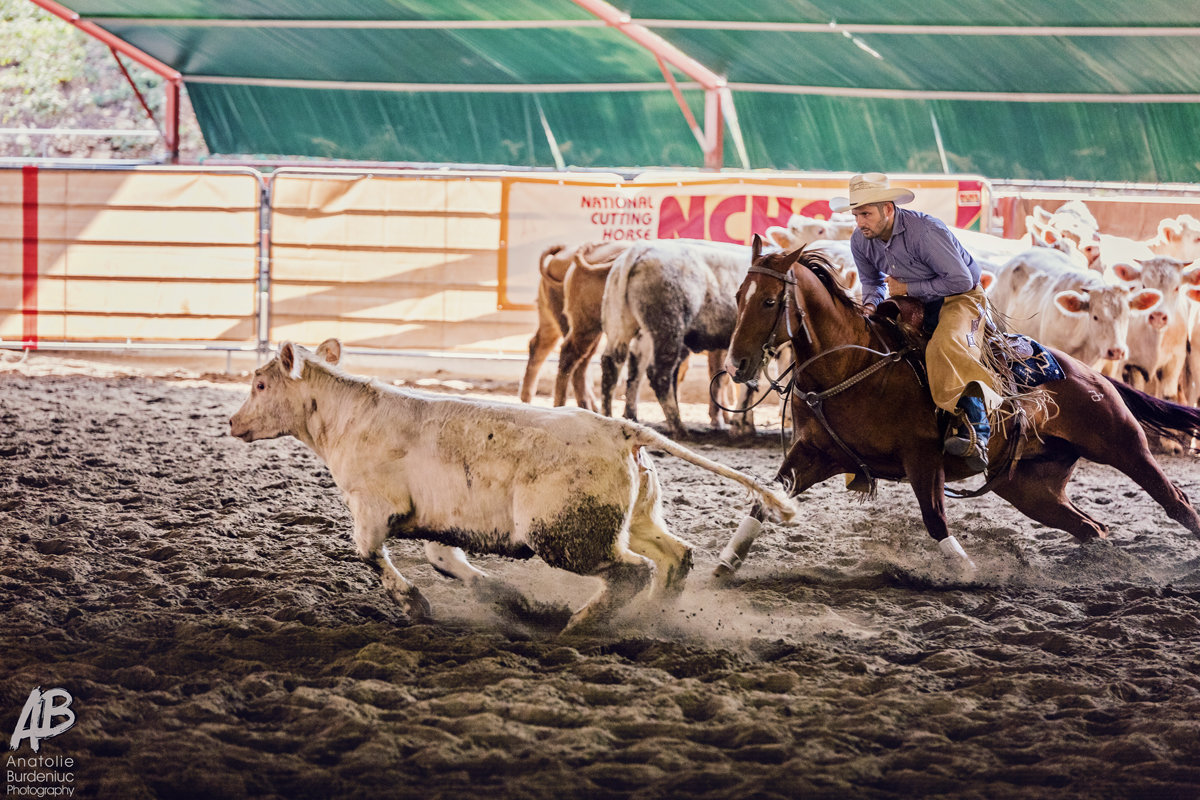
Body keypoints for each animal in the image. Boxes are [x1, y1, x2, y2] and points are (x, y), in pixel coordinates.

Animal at [231, 338, 796, 633]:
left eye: (260, 384)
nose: (234, 424)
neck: (349, 417)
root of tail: (619, 428)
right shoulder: (440, 520)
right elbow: (446, 559)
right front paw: (511, 600)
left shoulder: (371, 508)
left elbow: (370, 555)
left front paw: (415, 605)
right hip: (632, 519)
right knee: (675, 555)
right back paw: (650, 617)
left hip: (568, 535)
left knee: (632, 572)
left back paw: (581, 625)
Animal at [710, 235, 1200, 578]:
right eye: (736, 297)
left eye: (769, 301)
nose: (736, 364)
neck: (853, 366)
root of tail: (1091, 374)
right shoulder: (814, 454)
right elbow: (762, 504)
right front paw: (723, 567)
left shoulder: (923, 458)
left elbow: (935, 520)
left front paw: (967, 574)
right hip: (1029, 488)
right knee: (1090, 528)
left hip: (1123, 446)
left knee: (1175, 502)